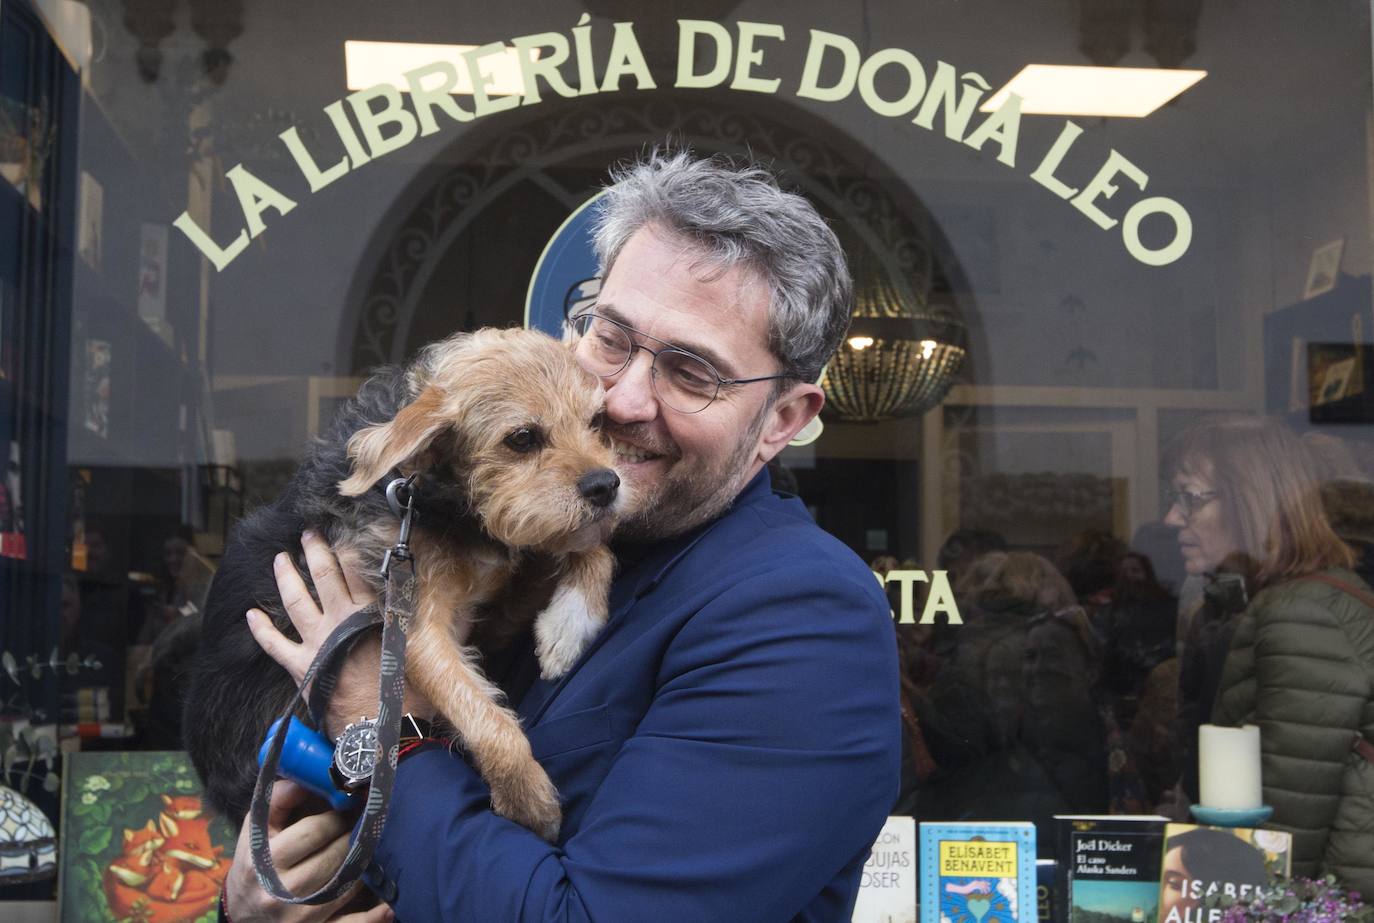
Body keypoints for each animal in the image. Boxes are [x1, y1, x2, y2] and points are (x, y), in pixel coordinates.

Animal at [184, 328, 629, 840]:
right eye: (522, 438)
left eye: (598, 421)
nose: (607, 485)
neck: (430, 493)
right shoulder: (415, 626)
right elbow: (480, 712)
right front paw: (526, 798)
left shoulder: (495, 614)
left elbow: (593, 546)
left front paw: (569, 623)